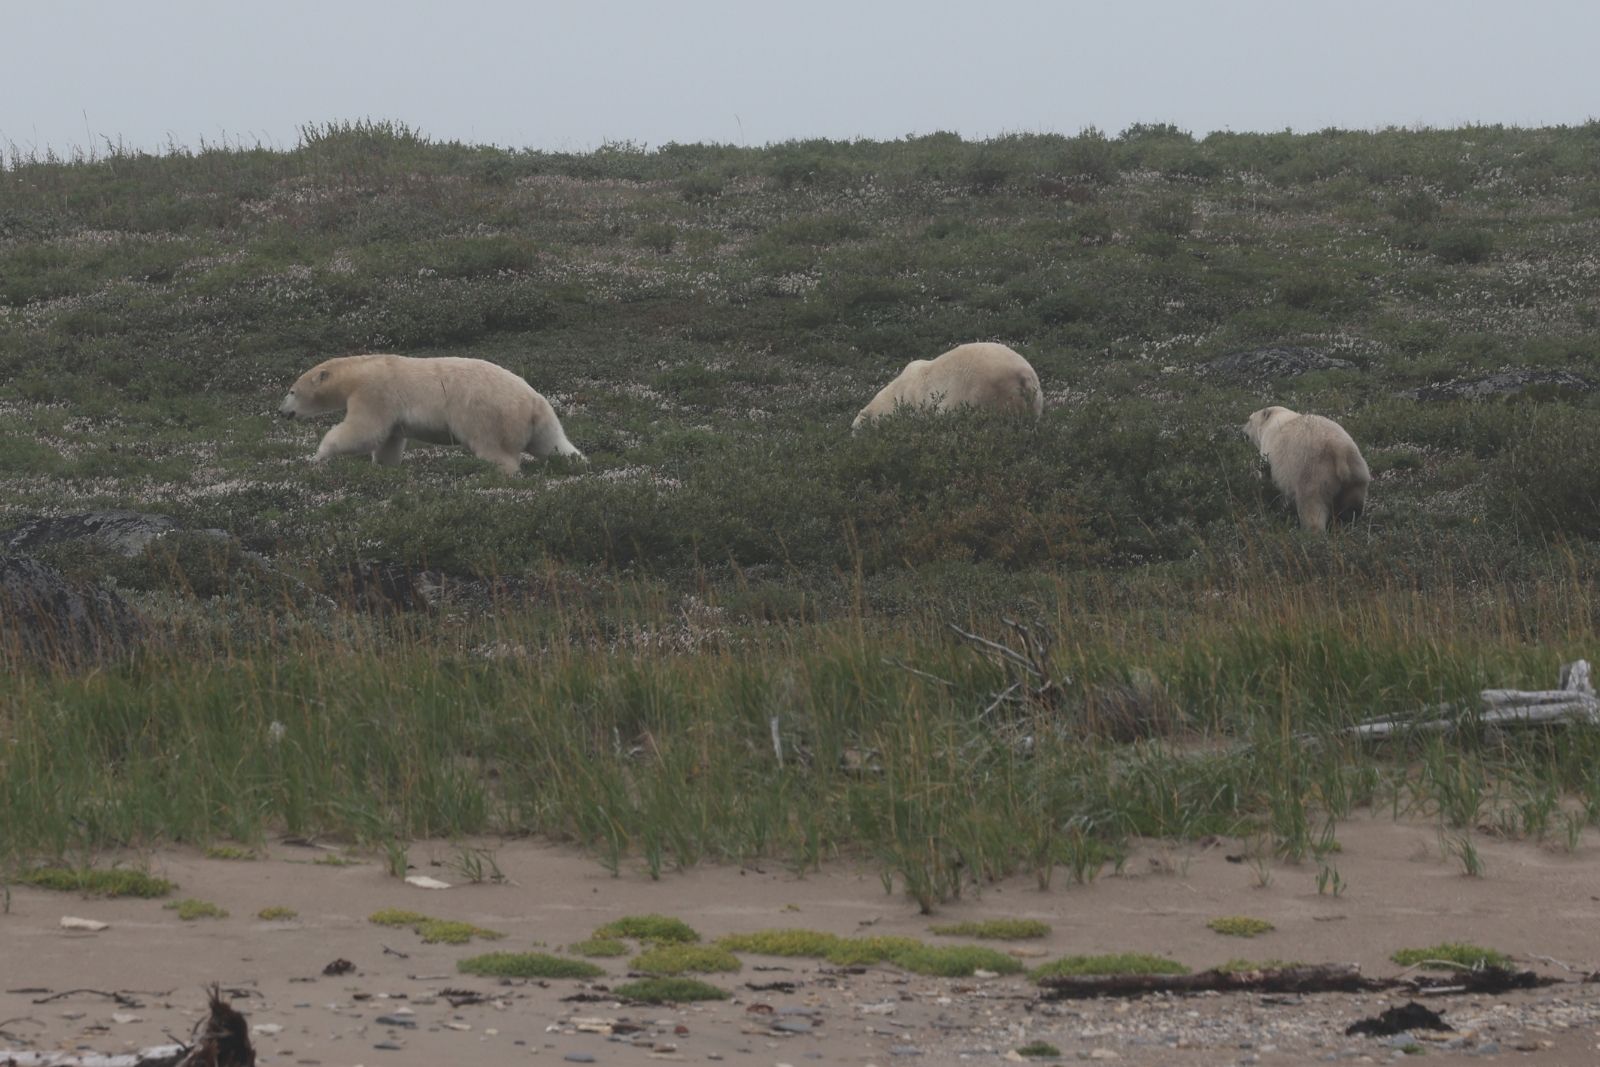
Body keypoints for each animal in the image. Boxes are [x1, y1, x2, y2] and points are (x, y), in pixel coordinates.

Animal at [279, 354, 583, 476]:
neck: (360, 372)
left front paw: (318, 455)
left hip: (489, 416)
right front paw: (384, 467)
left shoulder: (374, 392)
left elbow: (363, 431)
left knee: (494, 450)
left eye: (292, 391)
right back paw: (577, 462)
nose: (282, 411)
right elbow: (389, 440)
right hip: (542, 420)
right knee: (554, 443)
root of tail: (533, 401)